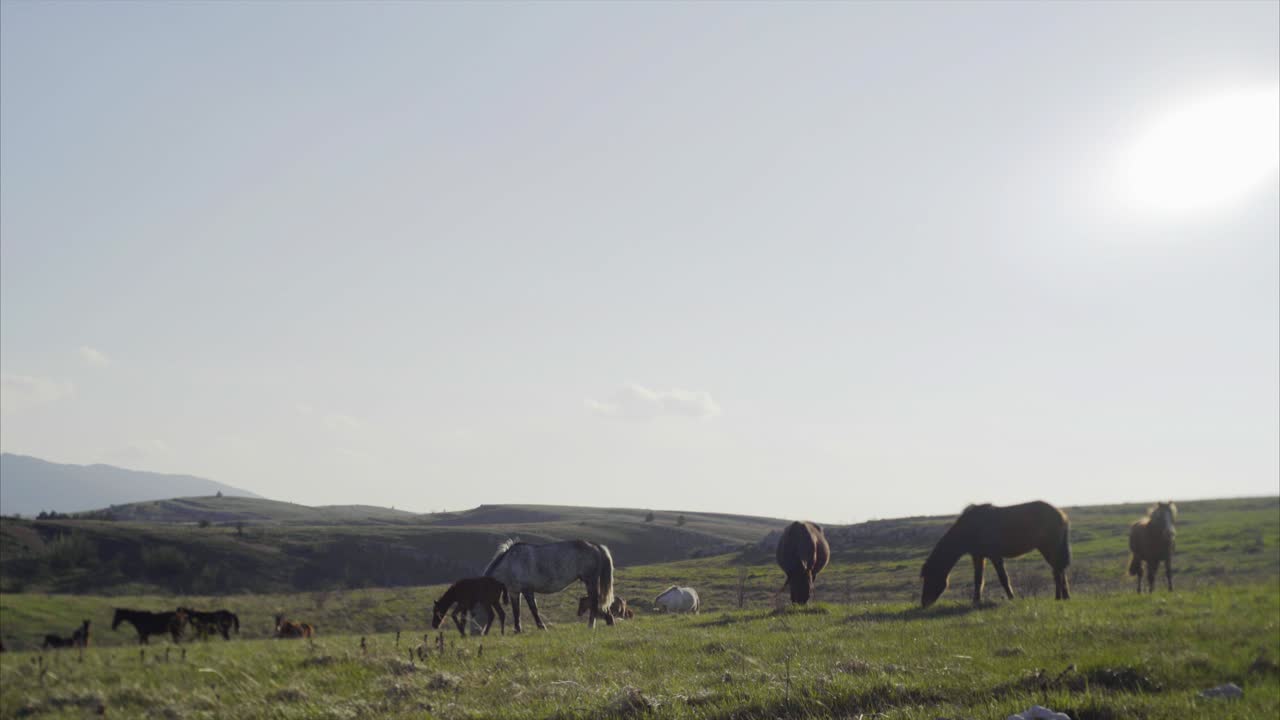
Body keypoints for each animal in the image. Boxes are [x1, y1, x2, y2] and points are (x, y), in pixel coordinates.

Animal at [484, 539, 616, 631]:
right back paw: (609, 621)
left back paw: (591, 625)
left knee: (595, 601)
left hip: (591, 581)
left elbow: (533, 609)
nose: (482, 632)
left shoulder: (527, 590)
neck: (510, 563)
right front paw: (517, 630)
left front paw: (541, 627)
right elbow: (516, 611)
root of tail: (596, 546)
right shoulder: (514, 592)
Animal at [920, 501, 1071, 608]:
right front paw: (976, 601)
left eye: (929, 578)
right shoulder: (978, 556)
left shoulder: (995, 556)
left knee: (1057, 570)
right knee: (1059, 570)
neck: (970, 527)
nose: (924, 603)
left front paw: (1011, 598)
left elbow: (1003, 578)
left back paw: (1058, 597)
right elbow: (978, 579)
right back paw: (1065, 596)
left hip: (1049, 547)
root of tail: (1061, 515)